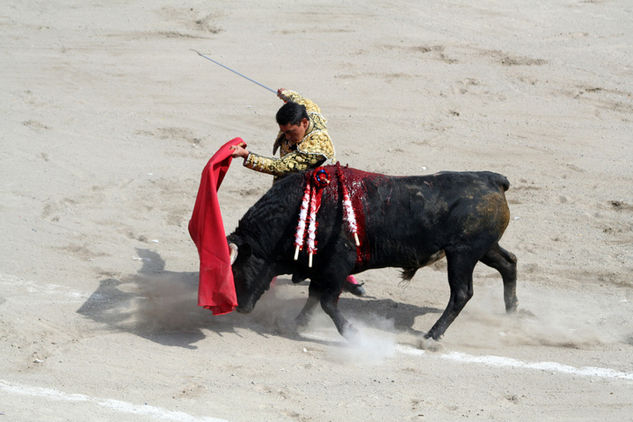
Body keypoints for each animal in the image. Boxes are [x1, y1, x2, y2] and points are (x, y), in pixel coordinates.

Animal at [230, 166, 516, 342]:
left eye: (237, 269)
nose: (240, 307)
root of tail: (493, 180)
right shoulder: (322, 268)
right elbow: (314, 296)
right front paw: (299, 322)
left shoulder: (336, 265)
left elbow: (327, 301)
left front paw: (352, 333)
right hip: (484, 248)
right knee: (509, 263)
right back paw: (512, 312)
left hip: (462, 253)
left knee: (461, 293)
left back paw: (431, 336)